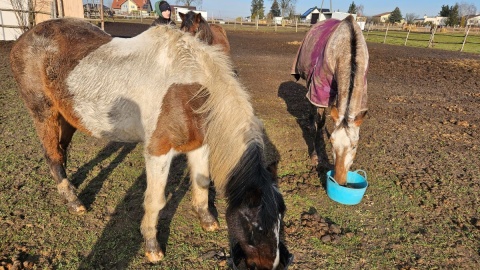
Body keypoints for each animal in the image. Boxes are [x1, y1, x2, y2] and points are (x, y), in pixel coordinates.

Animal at [9, 17, 290, 268]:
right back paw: (73, 201)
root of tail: (23, 38)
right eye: (255, 227)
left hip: (68, 116)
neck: (188, 88)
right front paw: (152, 247)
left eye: (281, 218)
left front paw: (207, 219)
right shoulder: (158, 151)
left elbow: (201, 183)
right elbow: (156, 200)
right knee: (52, 155)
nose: (270, 265)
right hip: (43, 113)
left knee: (61, 151)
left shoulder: (200, 144)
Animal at [290, 15, 370, 186]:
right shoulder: (320, 88)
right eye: (332, 142)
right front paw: (316, 156)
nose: (339, 180)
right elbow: (320, 122)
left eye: (355, 146)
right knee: (312, 107)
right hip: (310, 81)